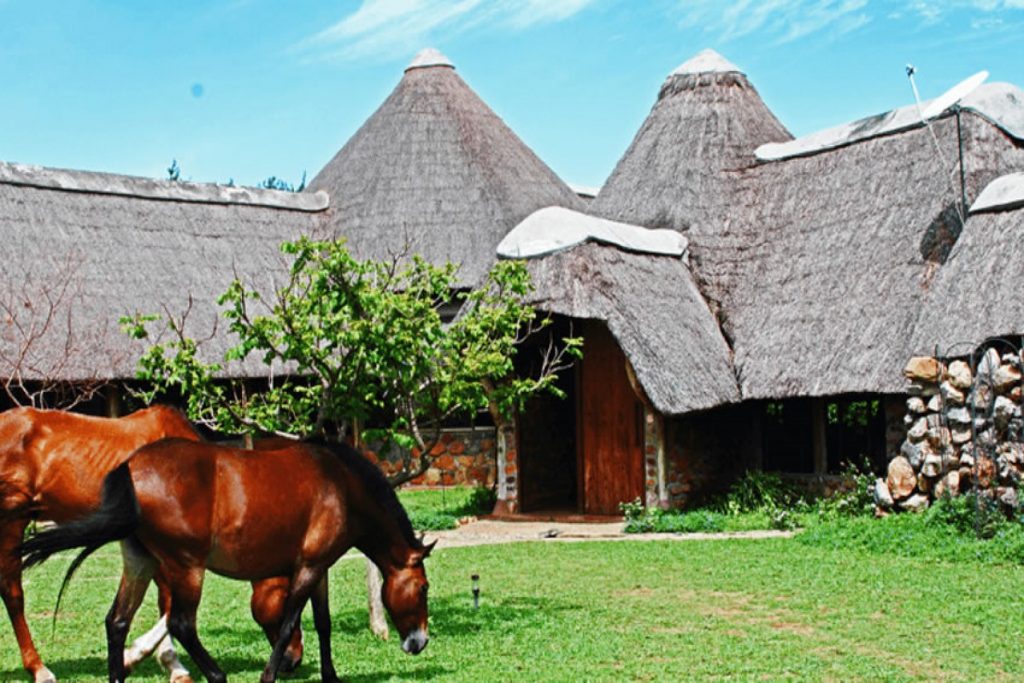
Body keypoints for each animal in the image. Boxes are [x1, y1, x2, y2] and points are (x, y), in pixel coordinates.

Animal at [0, 409, 301, 683]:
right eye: (287, 597)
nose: (294, 659)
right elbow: (168, 606)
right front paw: (155, 661)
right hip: (12, 520)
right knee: (13, 593)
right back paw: (40, 670)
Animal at [23, 438, 432, 683]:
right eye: (424, 588)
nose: (420, 642)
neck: (340, 484)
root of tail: (132, 468)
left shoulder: (320, 569)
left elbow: (323, 623)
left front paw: (329, 676)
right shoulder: (308, 568)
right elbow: (289, 624)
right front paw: (269, 675)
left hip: (141, 563)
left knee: (117, 621)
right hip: (186, 568)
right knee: (181, 623)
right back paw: (216, 675)